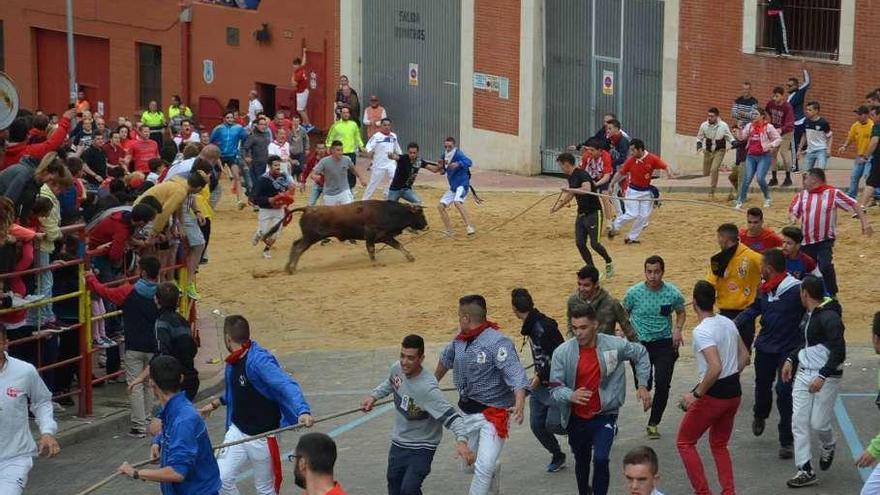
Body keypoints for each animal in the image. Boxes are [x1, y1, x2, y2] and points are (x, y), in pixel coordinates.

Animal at [286, 200, 430, 274]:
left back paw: (288, 267)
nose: (426, 226)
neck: (387, 211)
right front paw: (374, 263)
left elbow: (398, 245)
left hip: (308, 237)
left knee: (295, 244)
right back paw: (291, 268)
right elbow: (371, 250)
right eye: (420, 214)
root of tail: (307, 209)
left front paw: (410, 257)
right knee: (299, 248)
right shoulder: (372, 236)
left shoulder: (385, 237)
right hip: (311, 237)